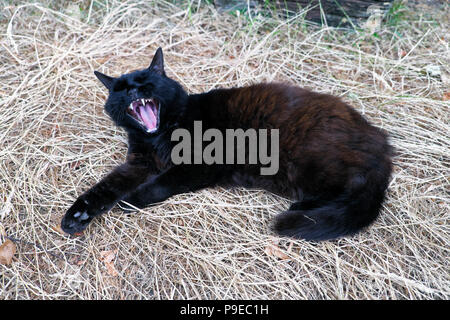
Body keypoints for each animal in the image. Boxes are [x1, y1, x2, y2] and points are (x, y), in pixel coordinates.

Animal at [61, 48, 392, 240]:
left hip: (307, 161)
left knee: (350, 191)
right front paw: (77, 216)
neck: (160, 135)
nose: (132, 92)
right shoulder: (138, 164)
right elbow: (104, 188)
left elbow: (160, 184)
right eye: (119, 89)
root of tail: (381, 142)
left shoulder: (200, 164)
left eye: (146, 83)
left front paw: (130, 200)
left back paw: (302, 208)